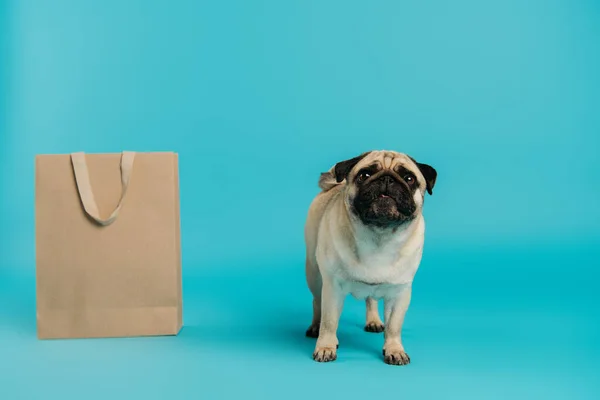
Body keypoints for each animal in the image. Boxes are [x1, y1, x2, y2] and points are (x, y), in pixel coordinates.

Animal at [304, 150, 436, 366]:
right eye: (364, 175)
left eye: (409, 178)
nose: (387, 179)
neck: (379, 235)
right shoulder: (332, 287)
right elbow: (329, 321)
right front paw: (325, 347)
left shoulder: (400, 293)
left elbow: (394, 326)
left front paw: (395, 349)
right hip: (314, 274)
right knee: (317, 302)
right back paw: (315, 326)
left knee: (371, 299)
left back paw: (374, 321)